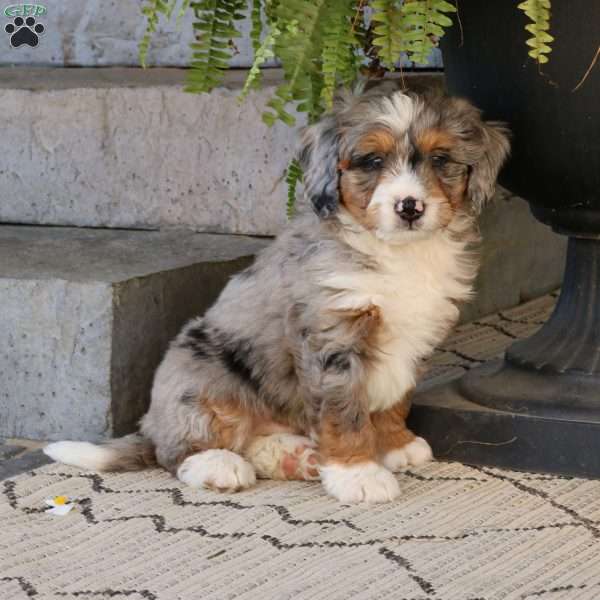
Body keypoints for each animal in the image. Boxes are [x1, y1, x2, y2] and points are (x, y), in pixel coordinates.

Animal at [44, 88, 508, 502]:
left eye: (441, 160)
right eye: (373, 161)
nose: (409, 207)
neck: (398, 253)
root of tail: (151, 421)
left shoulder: (413, 337)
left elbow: (397, 395)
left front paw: (396, 444)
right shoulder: (332, 337)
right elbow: (345, 412)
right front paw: (358, 475)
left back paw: (296, 458)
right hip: (199, 376)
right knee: (174, 450)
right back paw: (218, 464)